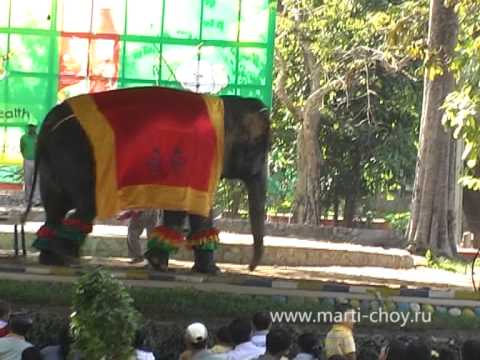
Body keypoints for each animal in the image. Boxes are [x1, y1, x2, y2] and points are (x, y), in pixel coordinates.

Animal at [21, 86, 270, 272]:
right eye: (257, 148)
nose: (250, 267)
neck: (225, 107)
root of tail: (47, 122)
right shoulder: (200, 155)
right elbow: (189, 206)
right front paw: (202, 269)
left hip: (53, 163)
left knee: (55, 209)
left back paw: (52, 259)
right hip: (76, 157)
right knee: (84, 207)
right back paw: (68, 259)